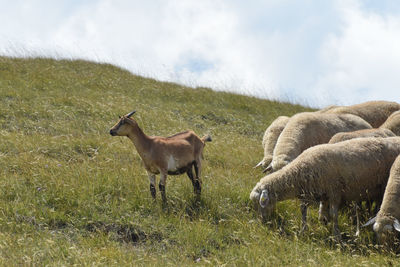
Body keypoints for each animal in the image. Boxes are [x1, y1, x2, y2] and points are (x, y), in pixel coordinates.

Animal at [248, 138, 400, 239]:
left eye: (260, 203)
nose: (262, 222)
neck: (300, 170)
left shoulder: (334, 192)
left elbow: (333, 215)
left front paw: (336, 235)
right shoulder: (312, 193)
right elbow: (304, 211)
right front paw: (304, 230)